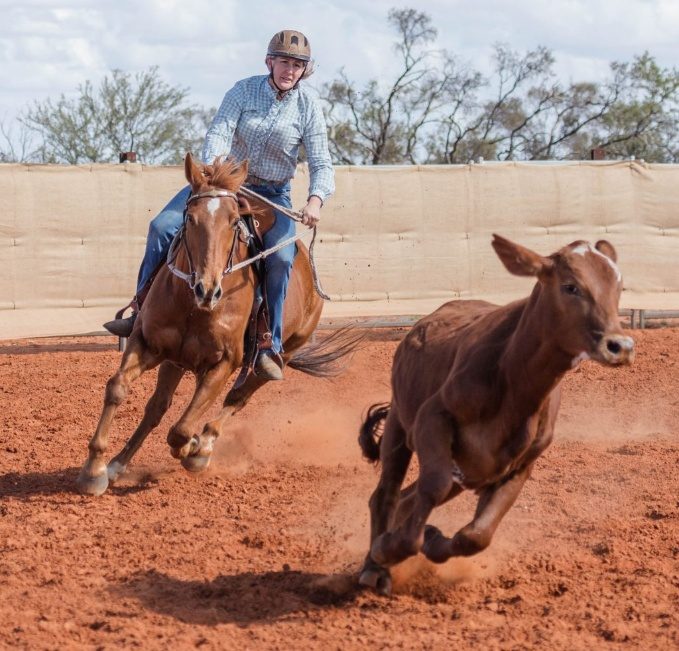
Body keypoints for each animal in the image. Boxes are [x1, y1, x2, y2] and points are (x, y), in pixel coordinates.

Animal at [77, 153, 356, 496]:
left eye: (234, 222)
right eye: (190, 218)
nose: (207, 289)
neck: (194, 307)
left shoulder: (224, 362)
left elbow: (182, 429)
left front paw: (192, 448)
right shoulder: (145, 343)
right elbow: (117, 388)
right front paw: (94, 470)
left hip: (282, 352)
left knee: (236, 398)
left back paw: (203, 448)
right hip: (176, 360)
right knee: (158, 407)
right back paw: (119, 464)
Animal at [357, 234, 635, 596]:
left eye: (619, 286)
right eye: (570, 286)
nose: (620, 346)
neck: (514, 381)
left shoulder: (517, 466)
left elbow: (476, 536)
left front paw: (432, 537)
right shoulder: (432, 419)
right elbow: (433, 486)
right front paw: (386, 548)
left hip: (466, 471)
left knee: (406, 499)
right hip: (399, 428)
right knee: (386, 495)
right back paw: (374, 568)